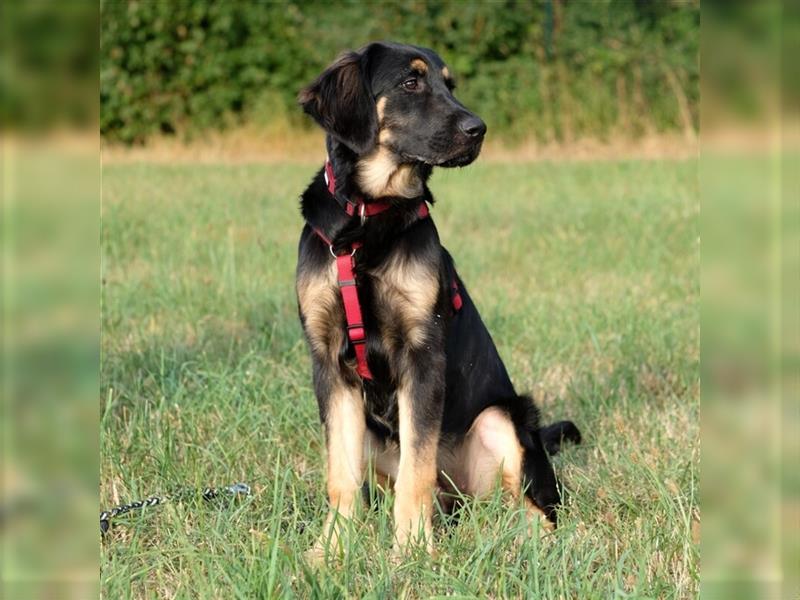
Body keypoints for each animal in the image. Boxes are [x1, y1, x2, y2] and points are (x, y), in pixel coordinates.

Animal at [296, 41, 580, 556]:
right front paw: (331, 551)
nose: (479, 129)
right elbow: (340, 476)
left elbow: (417, 470)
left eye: (451, 85)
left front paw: (410, 552)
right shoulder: (329, 362)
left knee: (533, 506)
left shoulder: (422, 354)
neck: (368, 220)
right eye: (412, 82)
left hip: (501, 420)